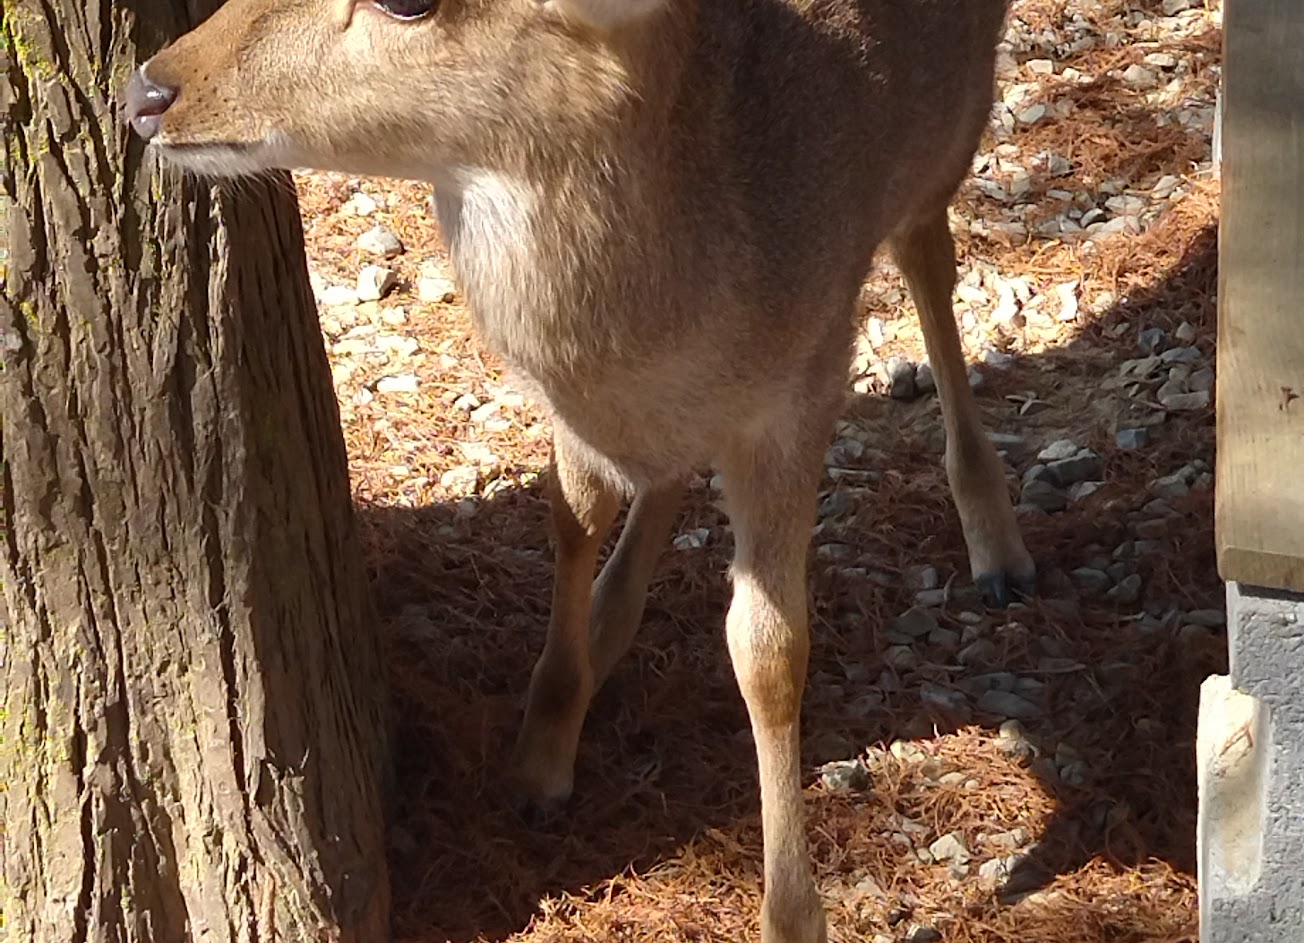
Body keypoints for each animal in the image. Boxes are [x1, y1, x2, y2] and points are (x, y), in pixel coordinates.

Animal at [126, 1, 1033, 940]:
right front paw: (540, 755)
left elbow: (770, 651)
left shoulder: (804, 381)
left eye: (410, 6)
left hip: (952, 133)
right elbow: (572, 514)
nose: (148, 88)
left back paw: (998, 547)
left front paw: (791, 914)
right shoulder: (578, 405)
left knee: (930, 254)